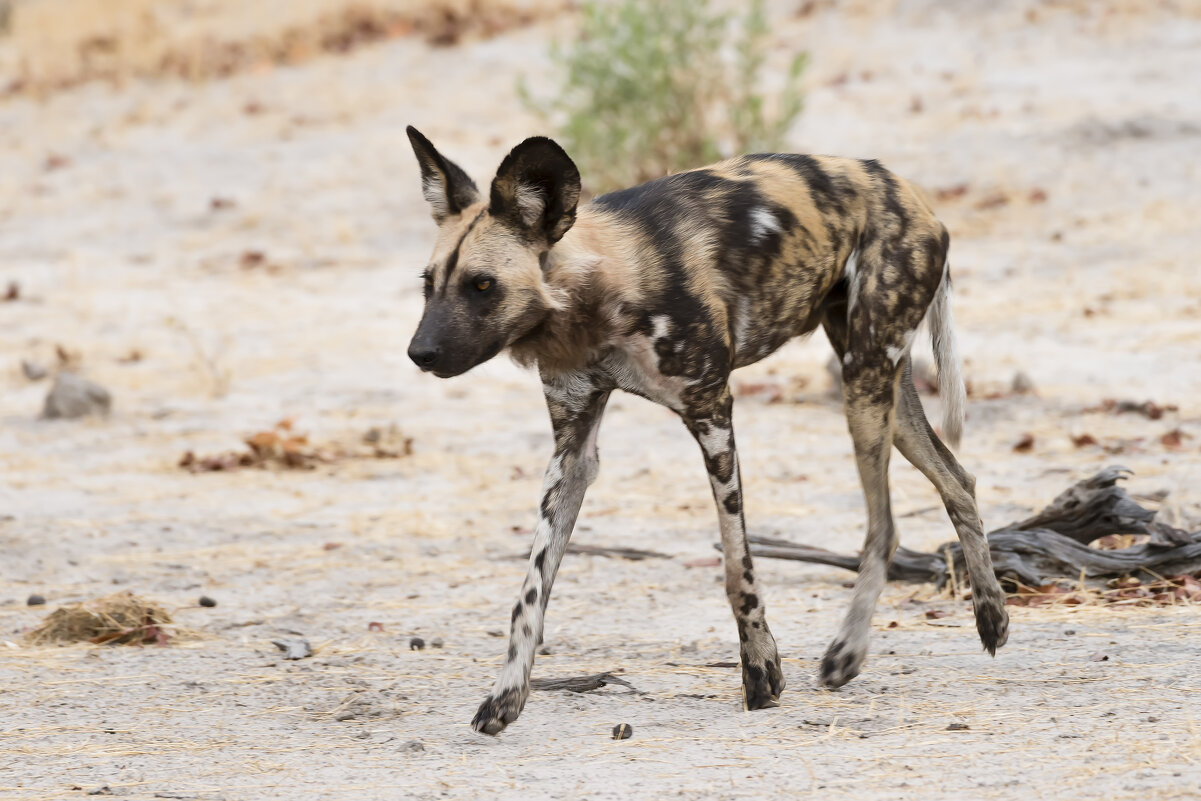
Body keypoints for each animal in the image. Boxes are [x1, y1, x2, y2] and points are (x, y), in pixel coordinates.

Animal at [408, 123, 1008, 734]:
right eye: (429, 284)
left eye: (483, 285)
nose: (419, 353)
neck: (599, 292)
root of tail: (911, 193)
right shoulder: (573, 452)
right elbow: (531, 588)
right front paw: (507, 694)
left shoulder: (712, 414)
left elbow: (736, 567)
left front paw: (761, 671)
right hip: (882, 391)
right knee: (958, 479)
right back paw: (991, 616)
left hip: (862, 384)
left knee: (884, 524)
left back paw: (848, 652)